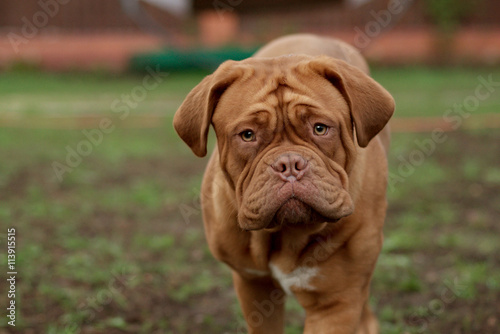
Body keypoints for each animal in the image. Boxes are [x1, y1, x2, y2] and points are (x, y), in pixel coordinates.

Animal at [174, 34, 396, 334]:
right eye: (248, 135)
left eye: (320, 128)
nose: (289, 164)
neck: (285, 234)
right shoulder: (253, 286)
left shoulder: (336, 301)